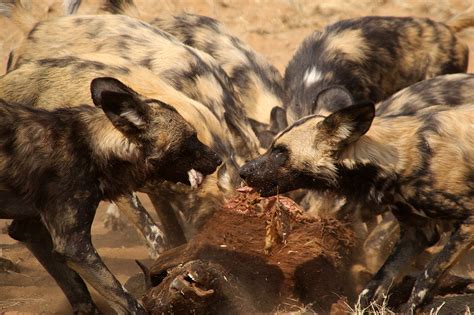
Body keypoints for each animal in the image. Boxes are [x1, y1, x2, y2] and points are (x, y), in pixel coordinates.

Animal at [0, 78, 222, 314]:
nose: (218, 159)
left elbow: (77, 289)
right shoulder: (74, 246)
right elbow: (126, 299)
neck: (90, 146)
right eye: (192, 137)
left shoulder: (32, 231)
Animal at [241, 102, 474, 312]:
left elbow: (426, 276)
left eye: (280, 152)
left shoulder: (468, 223)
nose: (243, 171)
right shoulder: (416, 235)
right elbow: (375, 285)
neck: (400, 160)